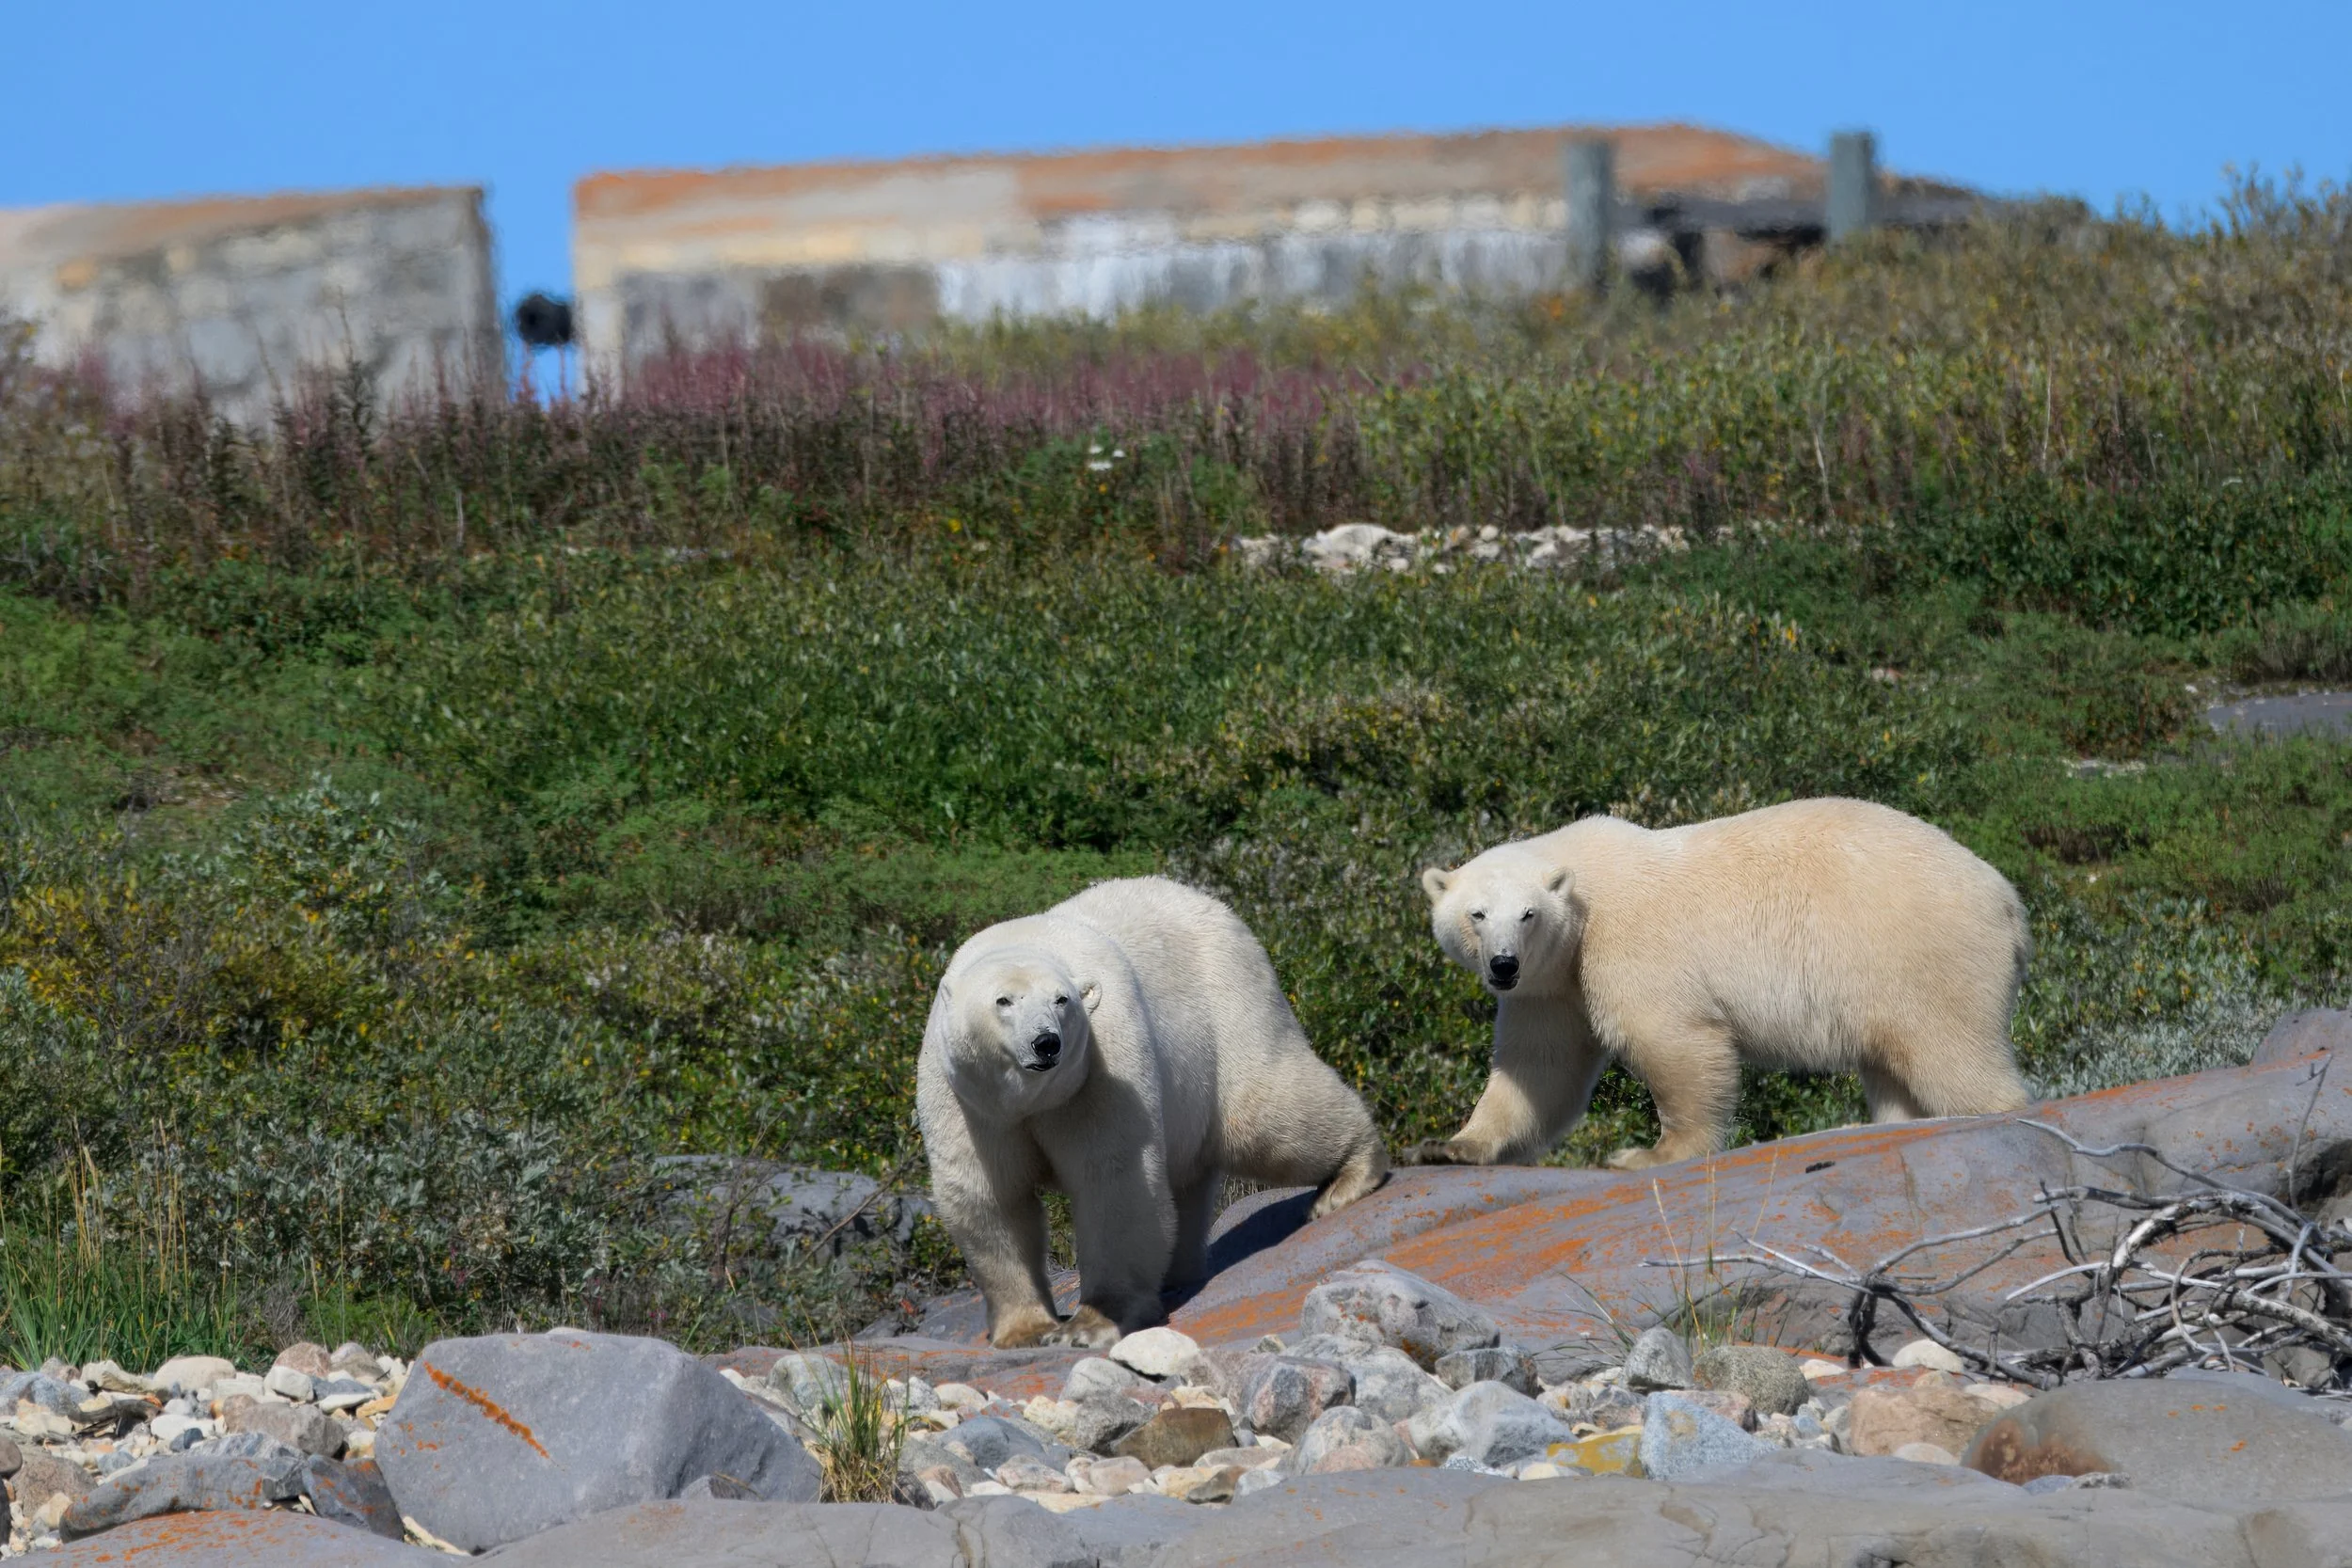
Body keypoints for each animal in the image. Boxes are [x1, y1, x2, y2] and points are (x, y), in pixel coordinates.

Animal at [918, 876, 1389, 1349]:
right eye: (1003, 1001)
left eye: (1062, 1000)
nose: (1046, 1043)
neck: (1030, 1100)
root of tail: (1212, 905)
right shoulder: (968, 1102)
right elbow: (989, 1196)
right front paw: (1026, 1331)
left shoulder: (1100, 1067)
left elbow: (1113, 1178)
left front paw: (1091, 1325)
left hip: (1229, 1001)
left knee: (1264, 1113)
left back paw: (1346, 1182)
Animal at [1411, 797, 2032, 1171]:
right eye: (1476, 914)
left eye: (1528, 914)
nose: (1503, 966)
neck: (1584, 884)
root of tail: (2009, 901)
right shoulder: (1553, 983)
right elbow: (1537, 1068)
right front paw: (1450, 1146)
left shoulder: (1624, 940)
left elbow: (1673, 1039)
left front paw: (1648, 1154)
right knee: (1894, 1066)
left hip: (1917, 950)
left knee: (1949, 1050)